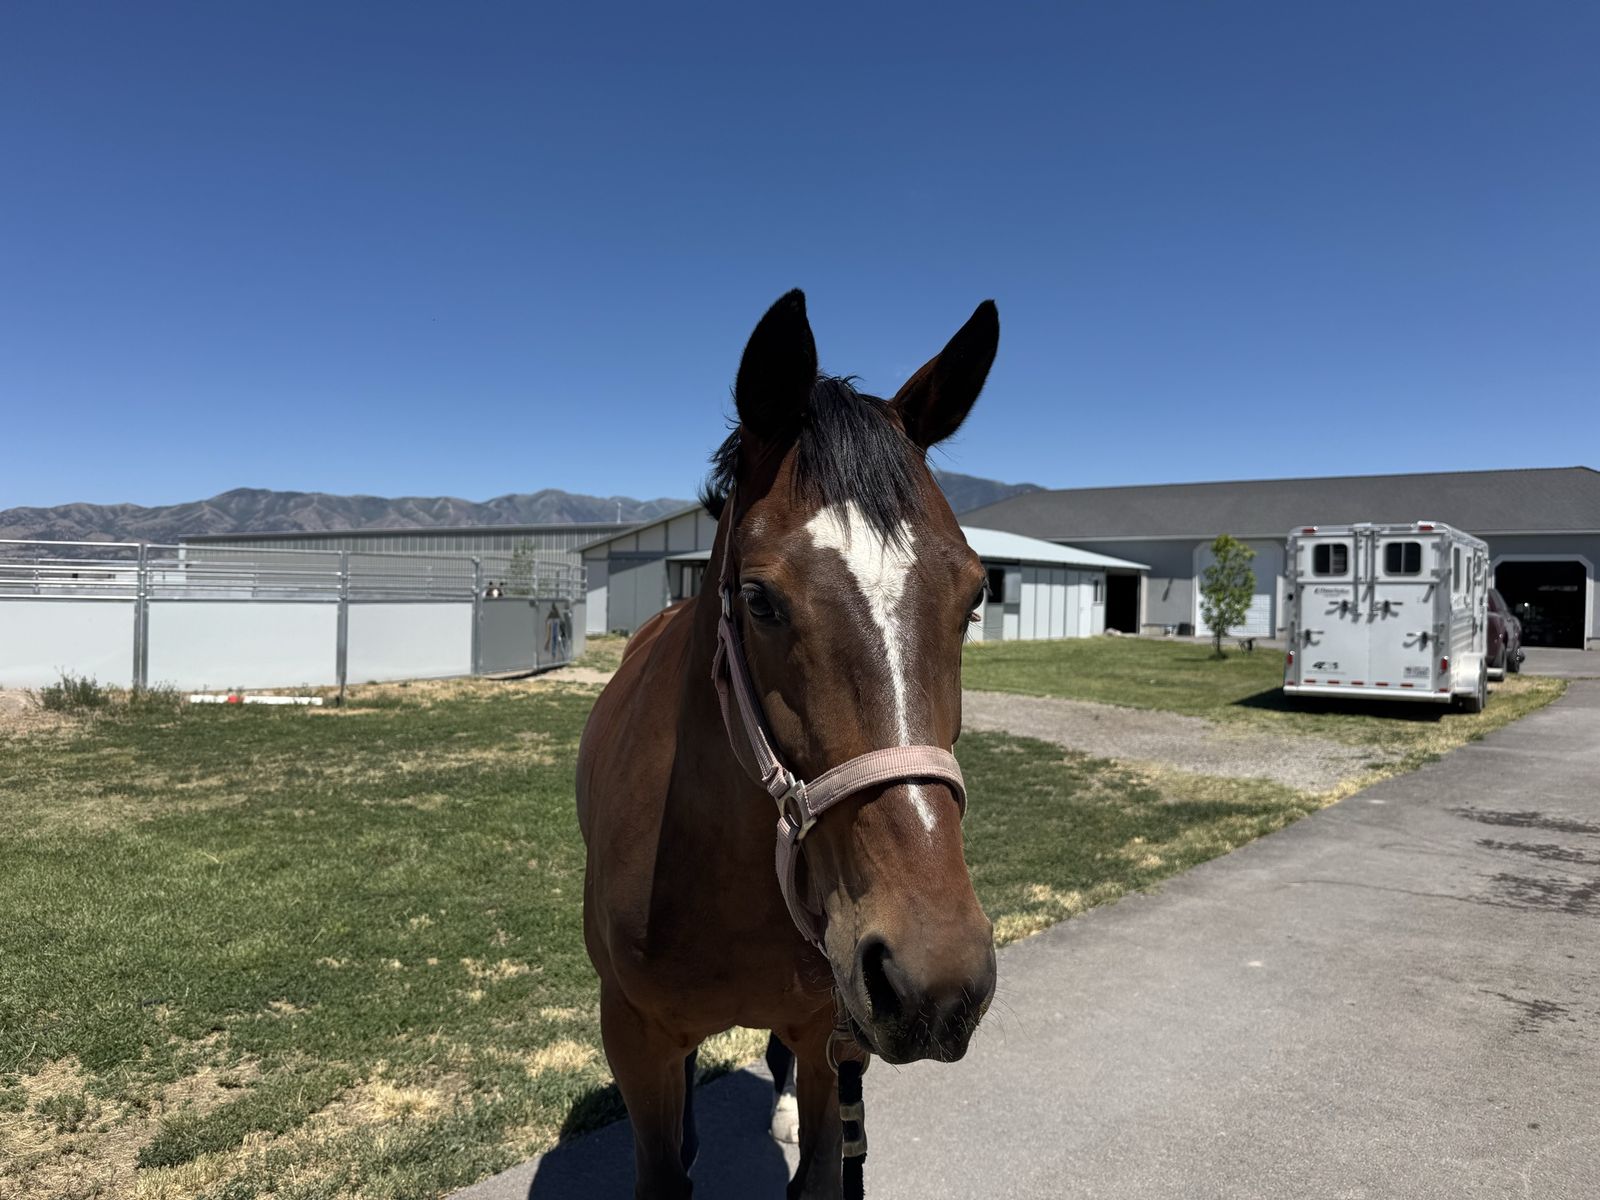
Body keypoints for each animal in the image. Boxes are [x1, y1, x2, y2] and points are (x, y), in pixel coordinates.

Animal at [577, 290, 1001, 1198]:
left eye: (975, 596)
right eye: (760, 598)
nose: (937, 976)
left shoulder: (829, 1034)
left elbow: (818, 1169)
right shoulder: (632, 1031)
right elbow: (662, 1167)